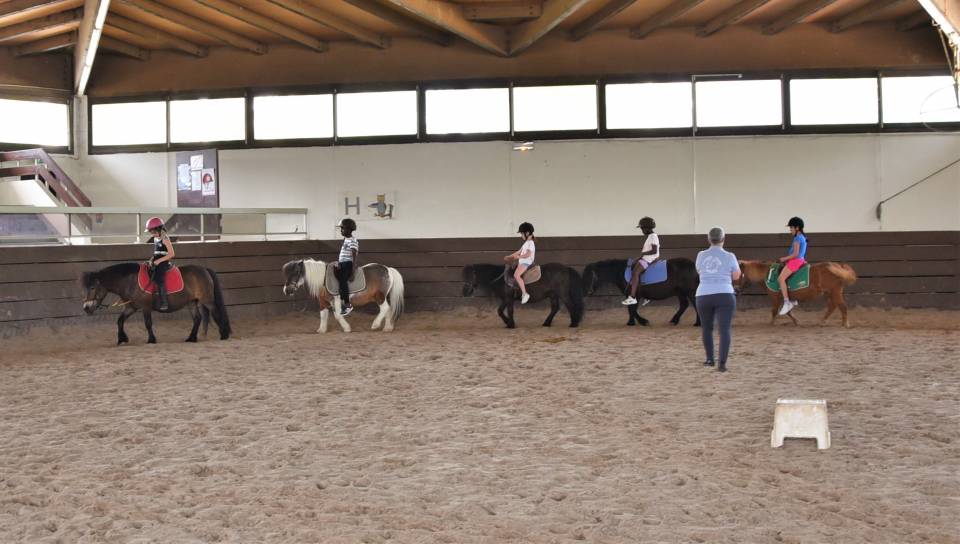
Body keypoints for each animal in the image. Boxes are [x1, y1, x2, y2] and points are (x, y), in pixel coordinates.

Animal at [81, 264, 232, 344]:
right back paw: (191, 338)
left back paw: (223, 335)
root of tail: (204, 269)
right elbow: (120, 320)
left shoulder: (145, 307)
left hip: (208, 301)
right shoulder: (131, 307)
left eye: (92, 288)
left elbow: (148, 324)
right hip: (191, 302)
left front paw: (151, 339)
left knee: (216, 314)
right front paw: (122, 339)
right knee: (197, 319)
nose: (86, 308)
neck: (130, 281)